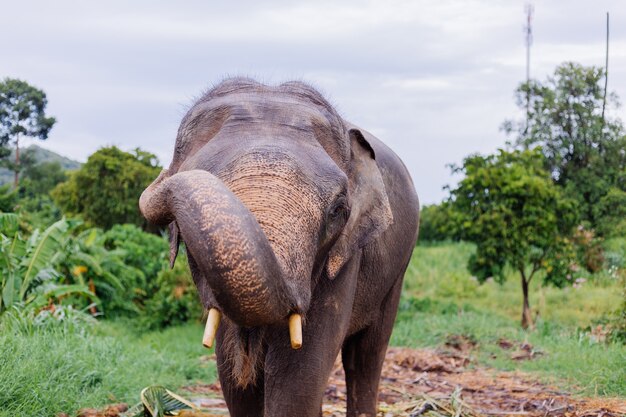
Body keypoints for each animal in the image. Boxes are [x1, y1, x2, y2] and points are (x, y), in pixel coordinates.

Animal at [139, 78, 416, 416]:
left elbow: (299, 373)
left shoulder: (344, 259)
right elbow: (232, 376)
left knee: (365, 356)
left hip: (397, 272)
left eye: (338, 209)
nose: (161, 180)